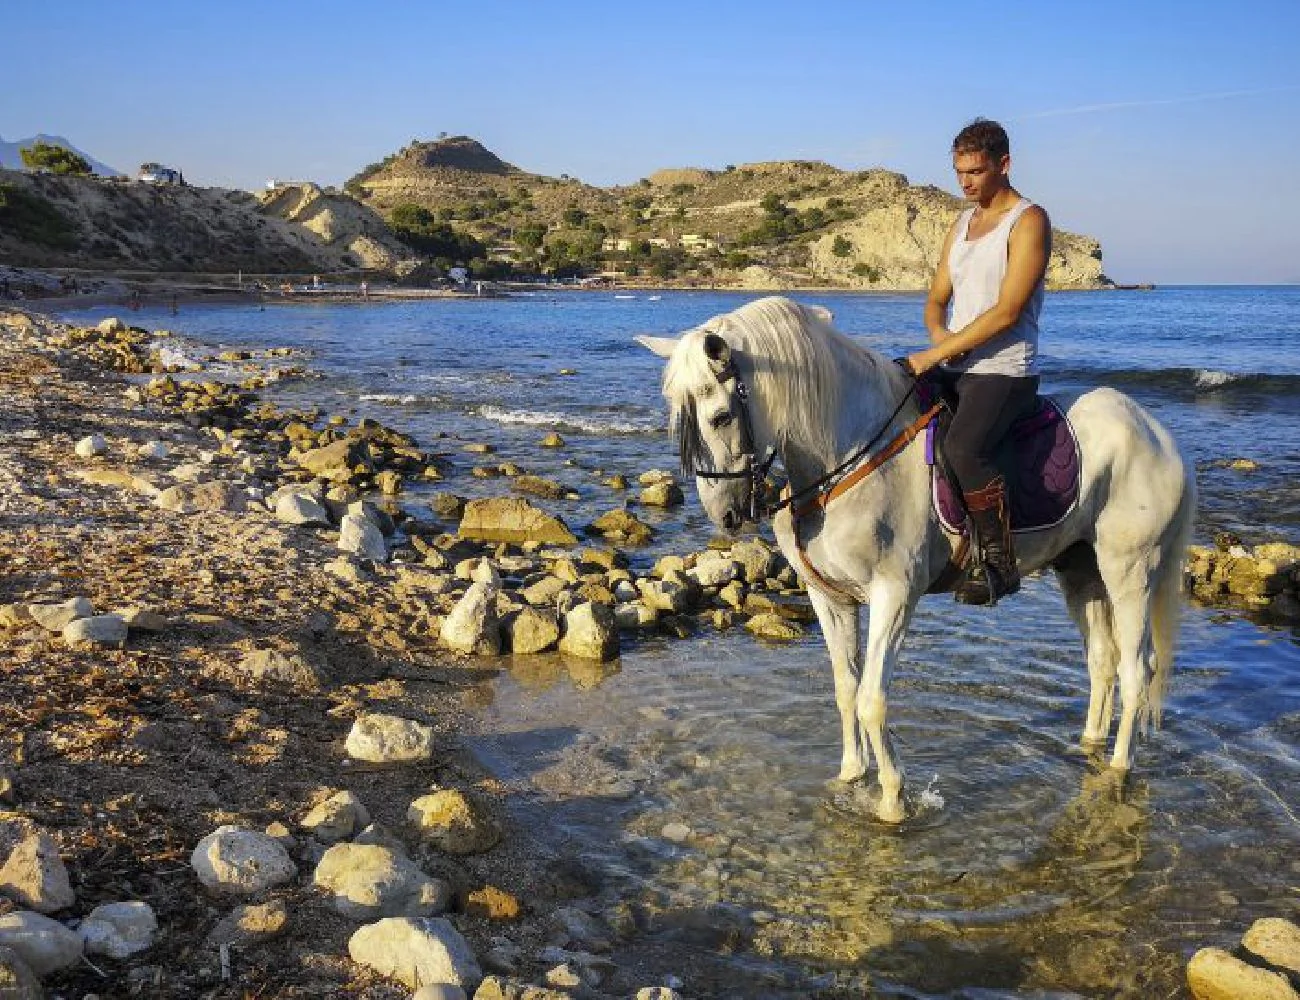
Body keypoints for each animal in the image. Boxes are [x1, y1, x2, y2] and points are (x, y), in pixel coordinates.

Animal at [637, 296, 1194, 823]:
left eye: (721, 417)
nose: (725, 515)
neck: (850, 456)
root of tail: (1157, 434)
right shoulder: (830, 598)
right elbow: (845, 689)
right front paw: (850, 776)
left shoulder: (895, 595)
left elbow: (872, 700)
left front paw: (891, 800)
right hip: (1081, 570)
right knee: (1103, 661)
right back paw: (1089, 749)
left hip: (1131, 571)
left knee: (1137, 669)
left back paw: (1117, 770)